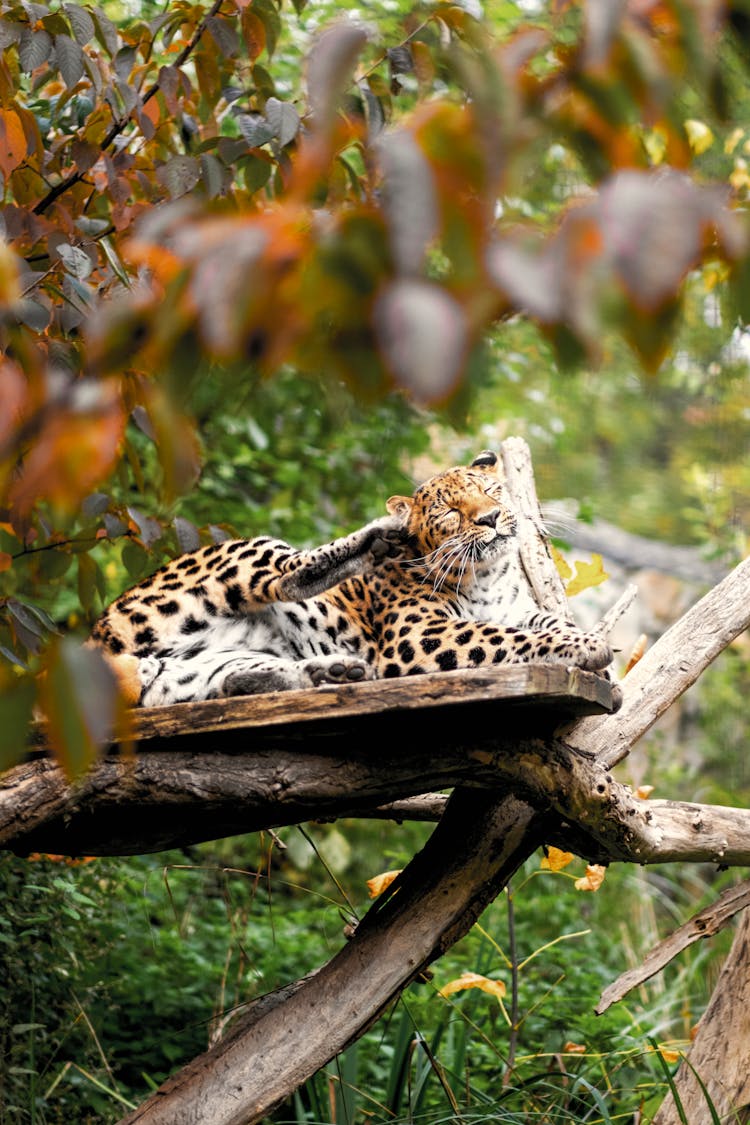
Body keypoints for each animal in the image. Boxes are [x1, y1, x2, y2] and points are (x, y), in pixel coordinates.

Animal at [89, 447, 616, 702]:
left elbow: (542, 623)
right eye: (449, 511)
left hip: (185, 671)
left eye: (490, 491)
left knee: (206, 680)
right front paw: (590, 648)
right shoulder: (418, 634)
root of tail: (95, 636)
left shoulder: (517, 608)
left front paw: (588, 646)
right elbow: (500, 637)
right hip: (243, 551)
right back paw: (378, 538)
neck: (488, 575)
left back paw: (327, 672)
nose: (489, 519)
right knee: (288, 576)